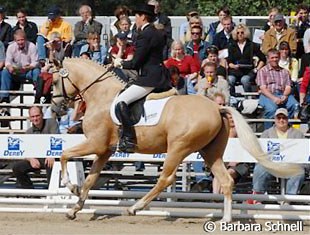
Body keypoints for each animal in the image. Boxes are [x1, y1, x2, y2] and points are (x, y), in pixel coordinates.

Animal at [51, 57, 302, 221]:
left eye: (53, 82)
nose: (55, 108)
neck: (101, 96)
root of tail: (217, 107)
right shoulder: (104, 150)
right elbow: (91, 179)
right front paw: (74, 208)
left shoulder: (95, 144)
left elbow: (64, 155)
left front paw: (70, 186)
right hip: (211, 152)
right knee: (226, 181)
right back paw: (225, 220)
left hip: (178, 147)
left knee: (166, 178)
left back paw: (135, 208)